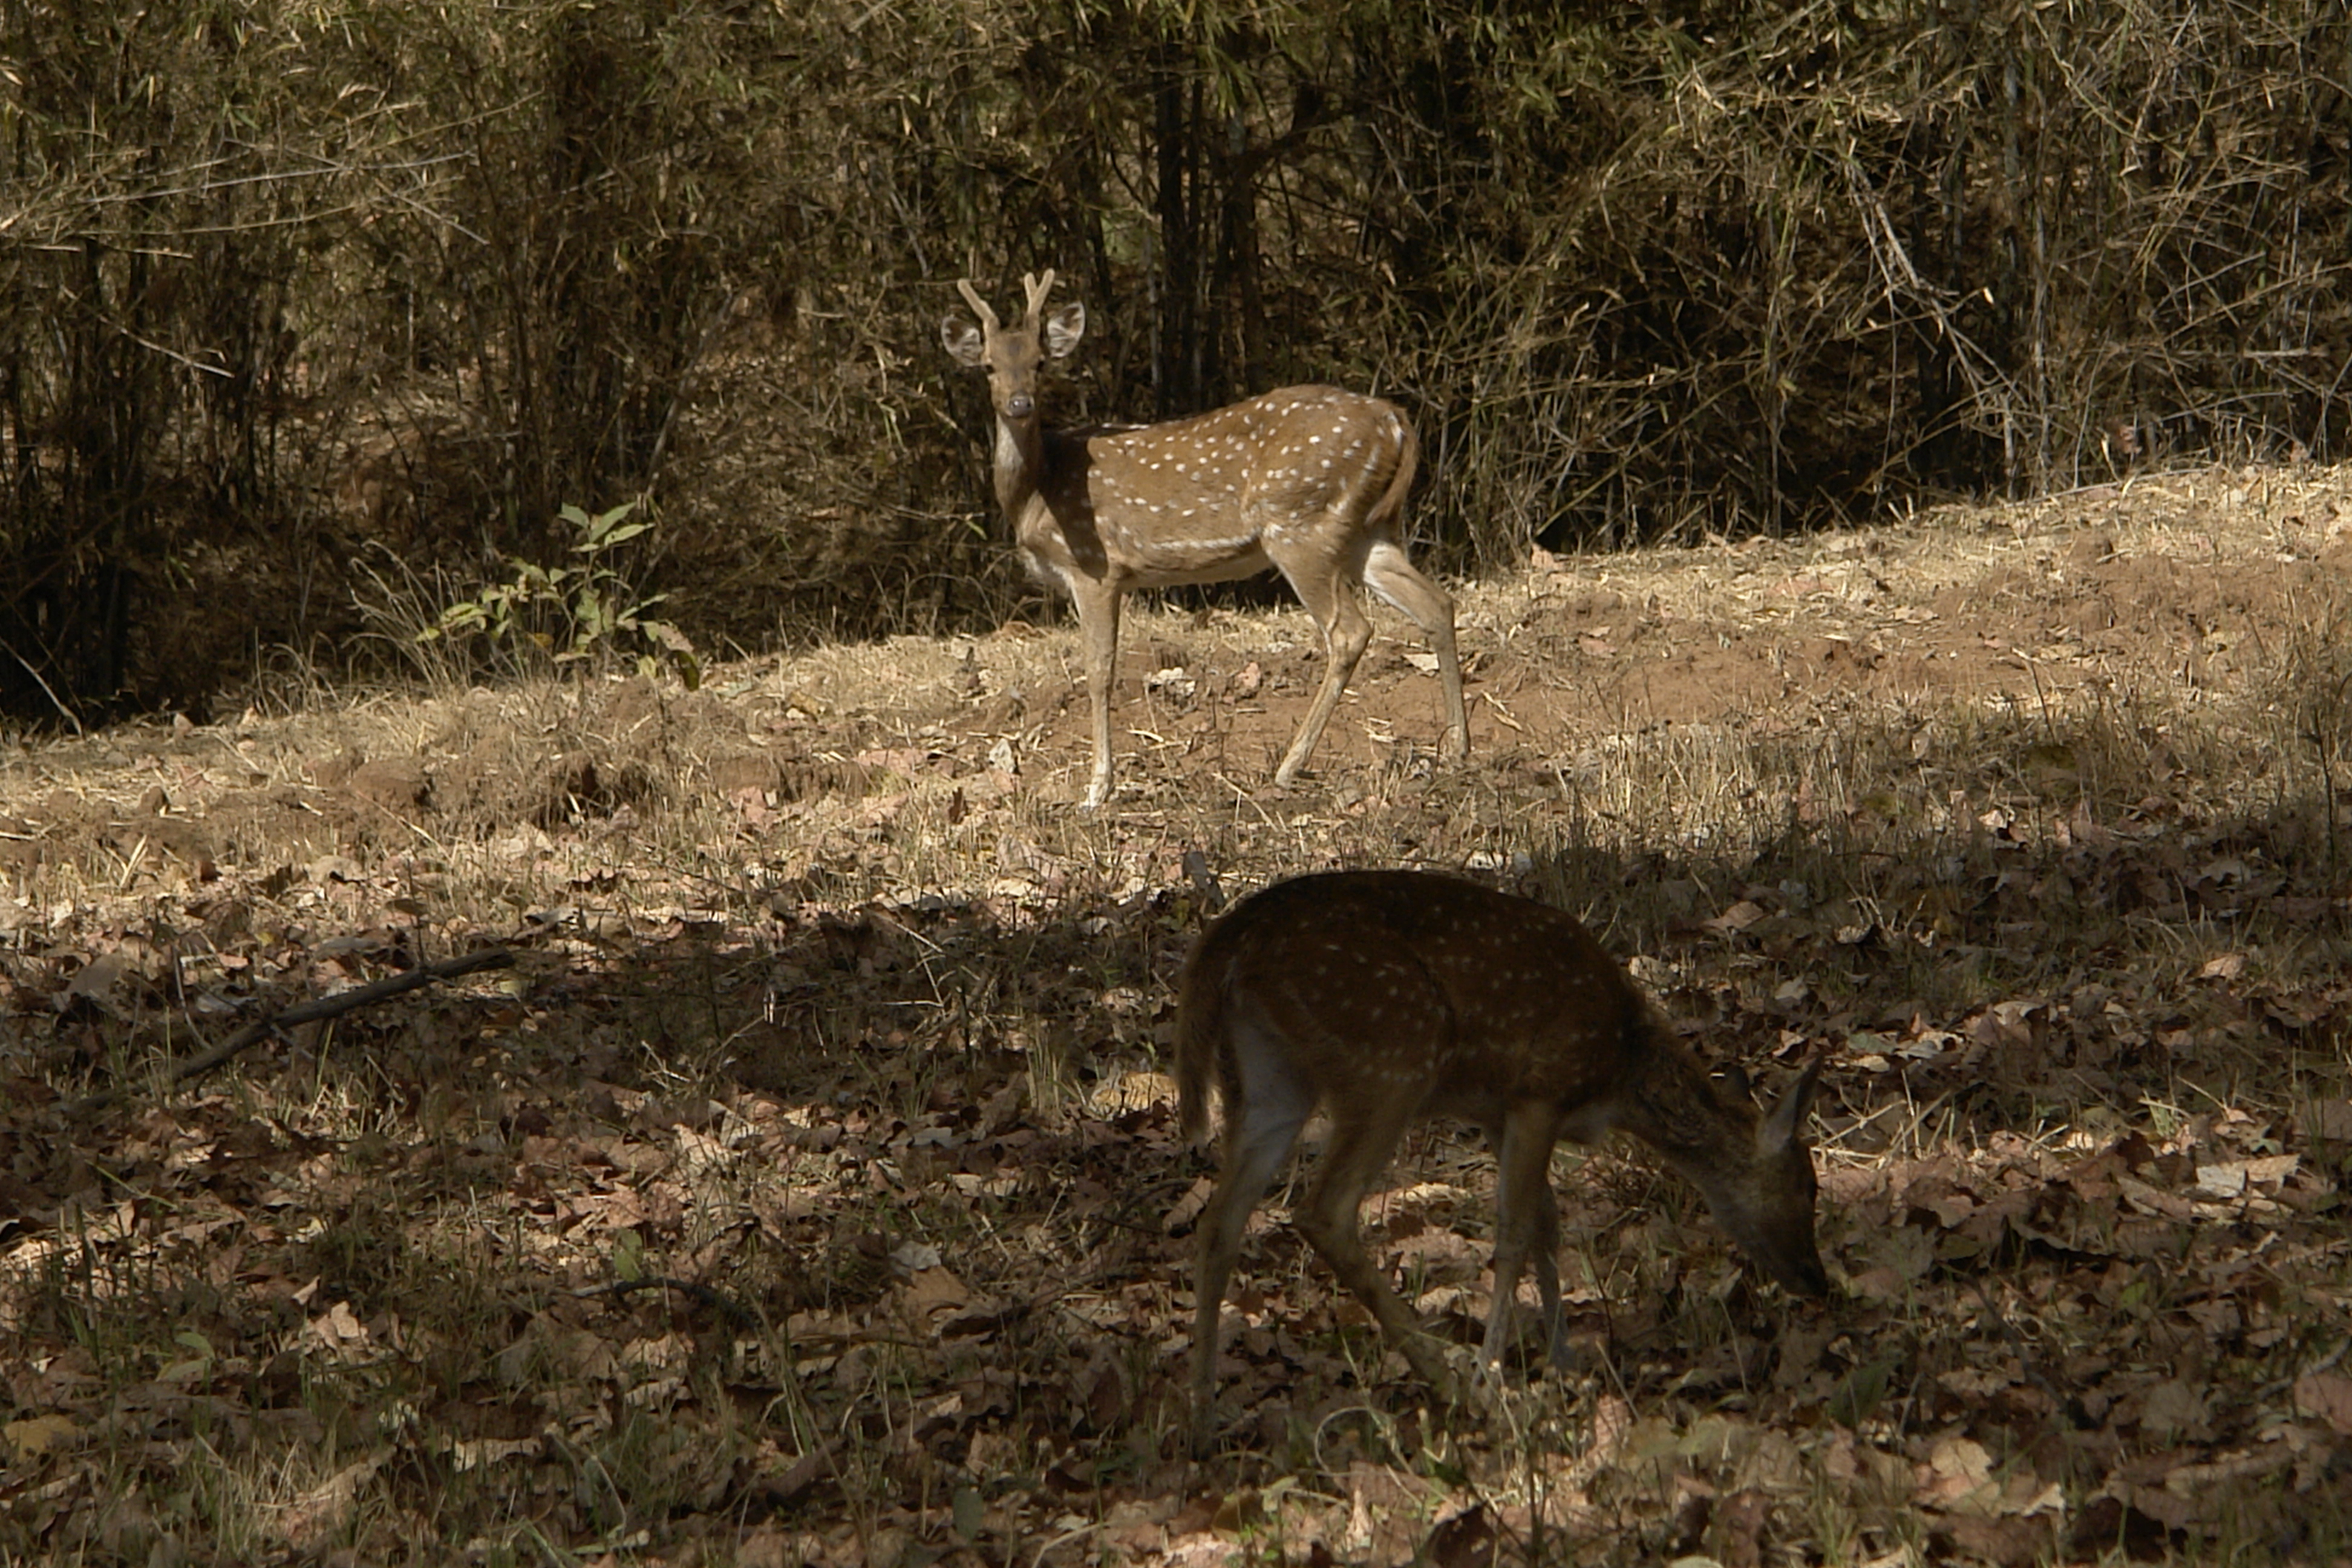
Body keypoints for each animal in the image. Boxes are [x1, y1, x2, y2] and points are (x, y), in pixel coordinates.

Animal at [941, 271, 1468, 808]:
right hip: (1367, 530)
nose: (1019, 404)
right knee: (1436, 604)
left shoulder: (1094, 566)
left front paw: (1097, 788)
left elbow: (1099, 671)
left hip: (1301, 523)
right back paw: (1456, 749)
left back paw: (1289, 766)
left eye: (1040, 362)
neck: (1036, 490)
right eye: (989, 366)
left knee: (1349, 632)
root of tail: (1396, 422)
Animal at [1176, 869, 1834, 1448]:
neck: (1621, 1070)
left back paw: (1204, 1421)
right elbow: (1517, 1230)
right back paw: (1451, 1382)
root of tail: (1227, 941)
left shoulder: (1499, 1111)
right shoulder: (1543, 1088)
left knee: (1219, 1223)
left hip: (1272, 1078)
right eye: (1809, 1186)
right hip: (1391, 1052)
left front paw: (1563, 1360)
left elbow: (1547, 1223)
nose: (1818, 1279)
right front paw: (1497, 1372)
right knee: (1325, 1211)